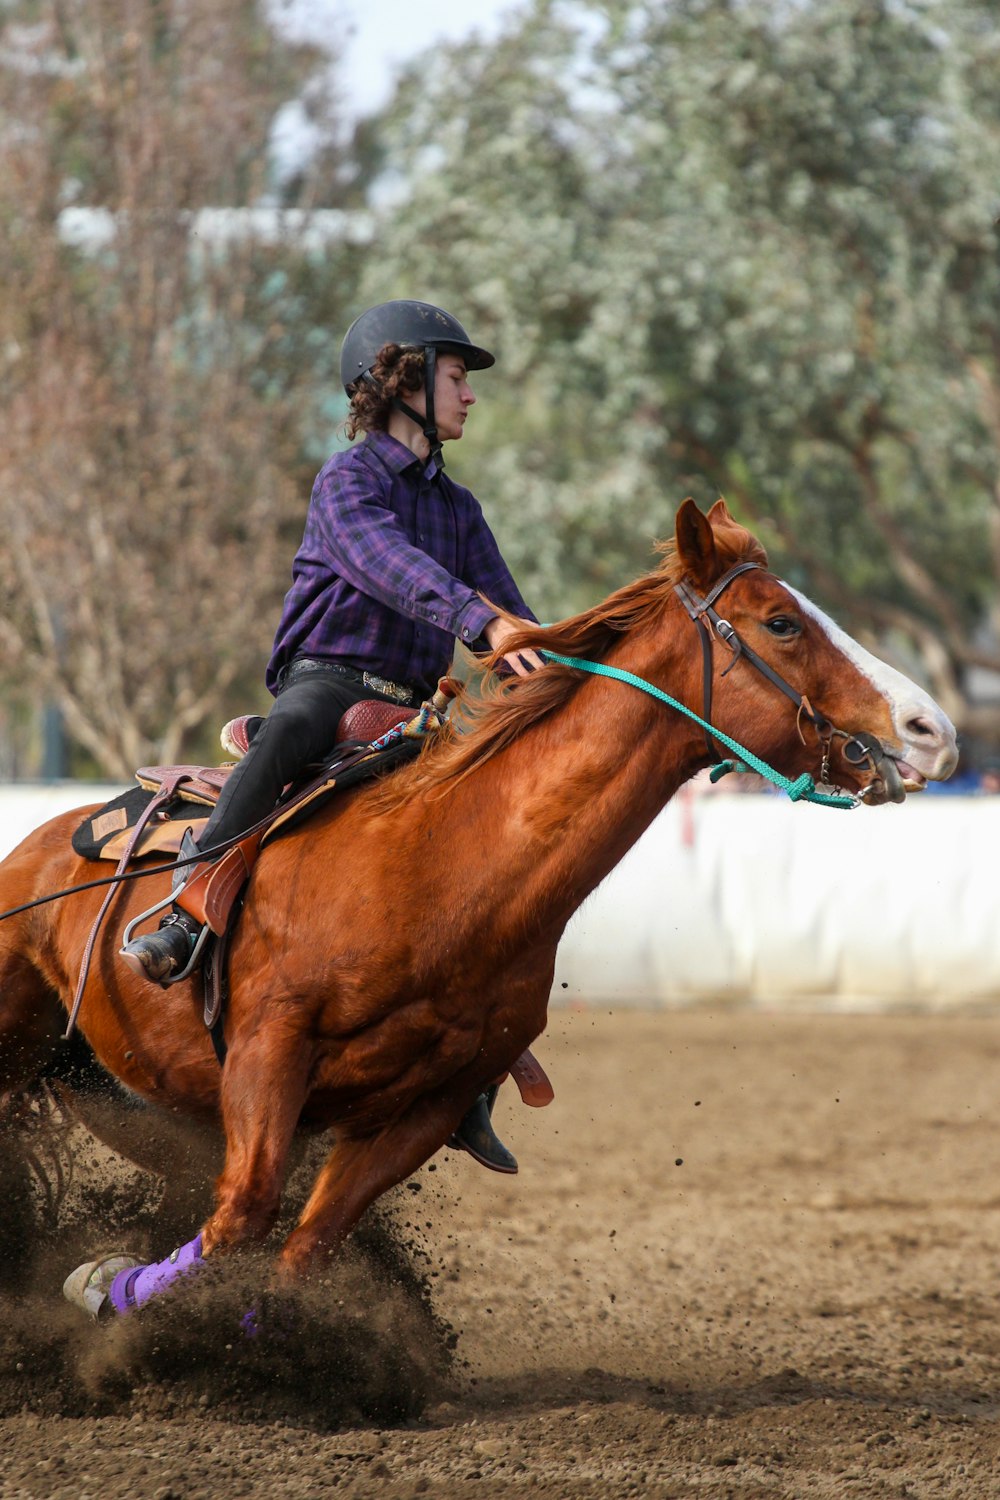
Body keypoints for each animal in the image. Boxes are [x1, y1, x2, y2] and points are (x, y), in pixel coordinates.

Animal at [0, 498, 953, 1308]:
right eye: (781, 622)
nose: (932, 730)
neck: (444, 864)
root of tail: (38, 852)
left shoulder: (423, 1108)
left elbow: (305, 1247)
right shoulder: (269, 1052)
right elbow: (244, 1211)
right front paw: (102, 1289)